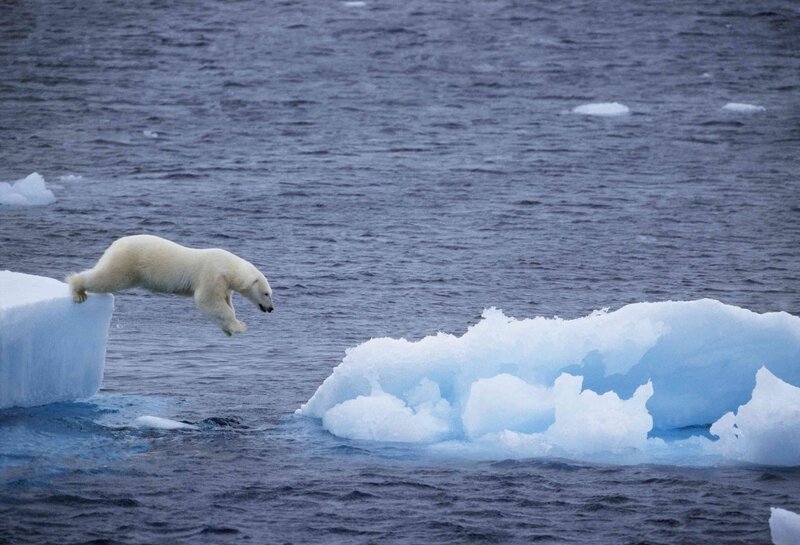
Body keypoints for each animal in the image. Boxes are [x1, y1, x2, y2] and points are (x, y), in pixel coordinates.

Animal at [67, 234, 273, 336]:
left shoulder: (224, 284)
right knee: (106, 278)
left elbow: (222, 304)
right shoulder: (212, 275)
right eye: (266, 293)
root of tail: (115, 244)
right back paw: (78, 290)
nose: (271, 309)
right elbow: (206, 301)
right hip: (127, 263)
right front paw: (240, 326)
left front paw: (229, 328)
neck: (229, 267)